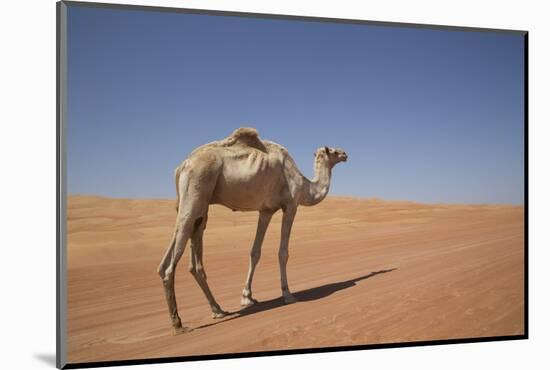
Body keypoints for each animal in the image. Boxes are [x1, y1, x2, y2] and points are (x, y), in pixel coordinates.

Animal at [158, 128, 350, 336]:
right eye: (333, 151)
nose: (345, 154)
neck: (304, 185)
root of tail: (183, 165)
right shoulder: (290, 206)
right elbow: (283, 253)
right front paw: (288, 294)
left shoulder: (266, 210)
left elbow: (255, 252)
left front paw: (247, 297)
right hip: (195, 189)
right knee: (170, 261)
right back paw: (178, 324)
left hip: (199, 206)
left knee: (189, 255)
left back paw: (218, 310)